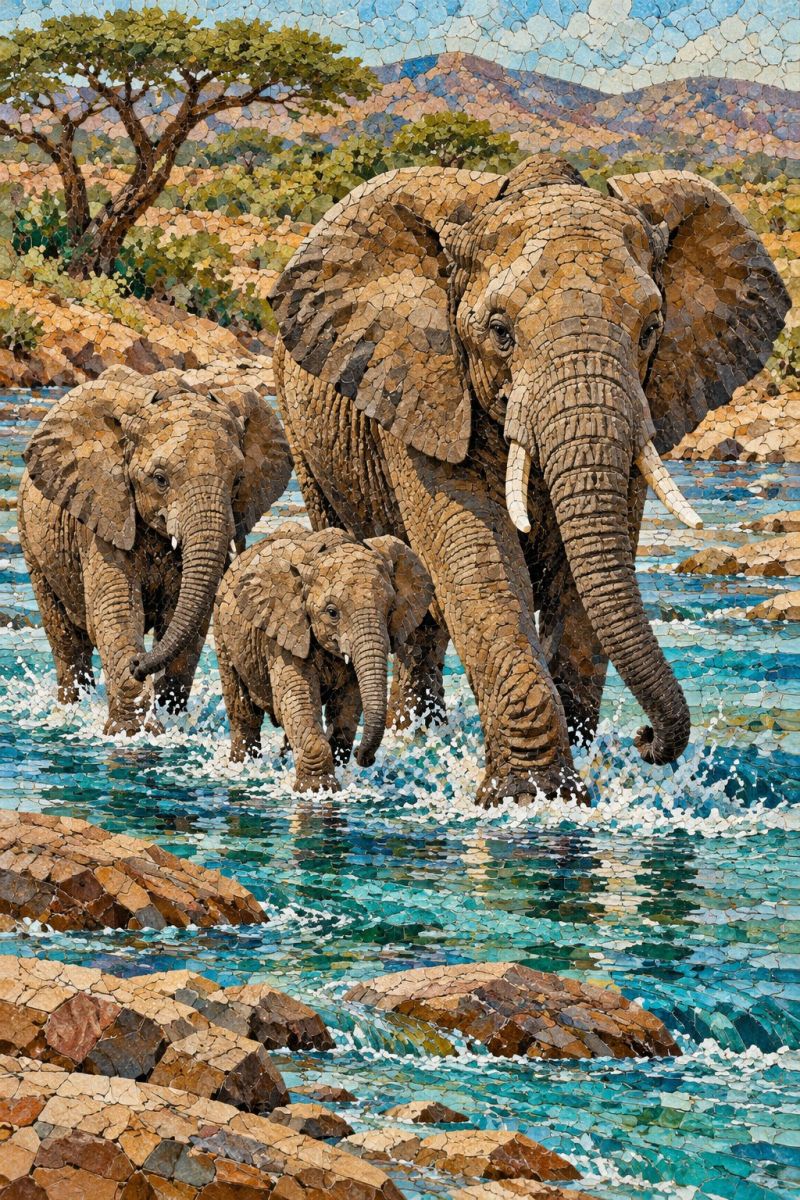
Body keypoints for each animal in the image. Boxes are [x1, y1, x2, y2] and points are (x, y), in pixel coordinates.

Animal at [18, 364, 292, 735]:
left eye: (237, 480)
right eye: (160, 479)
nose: (138, 663)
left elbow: (188, 623)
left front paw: (171, 723)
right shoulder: (103, 515)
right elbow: (116, 615)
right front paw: (131, 733)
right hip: (32, 540)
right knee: (66, 639)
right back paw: (70, 710)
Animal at [214, 522, 433, 791]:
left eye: (391, 609)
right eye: (332, 612)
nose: (364, 757)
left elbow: (348, 704)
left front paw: (337, 764)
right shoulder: (285, 631)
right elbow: (298, 699)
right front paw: (318, 788)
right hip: (223, 632)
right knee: (244, 714)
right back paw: (242, 767)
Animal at [269, 154, 790, 806]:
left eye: (651, 329)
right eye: (499, 331)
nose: (647, 740)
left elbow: (583, 576)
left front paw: (579, 777)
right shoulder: (427, 390)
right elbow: (478, 558)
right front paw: (531, 797)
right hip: (306, 434)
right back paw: (418, 741)